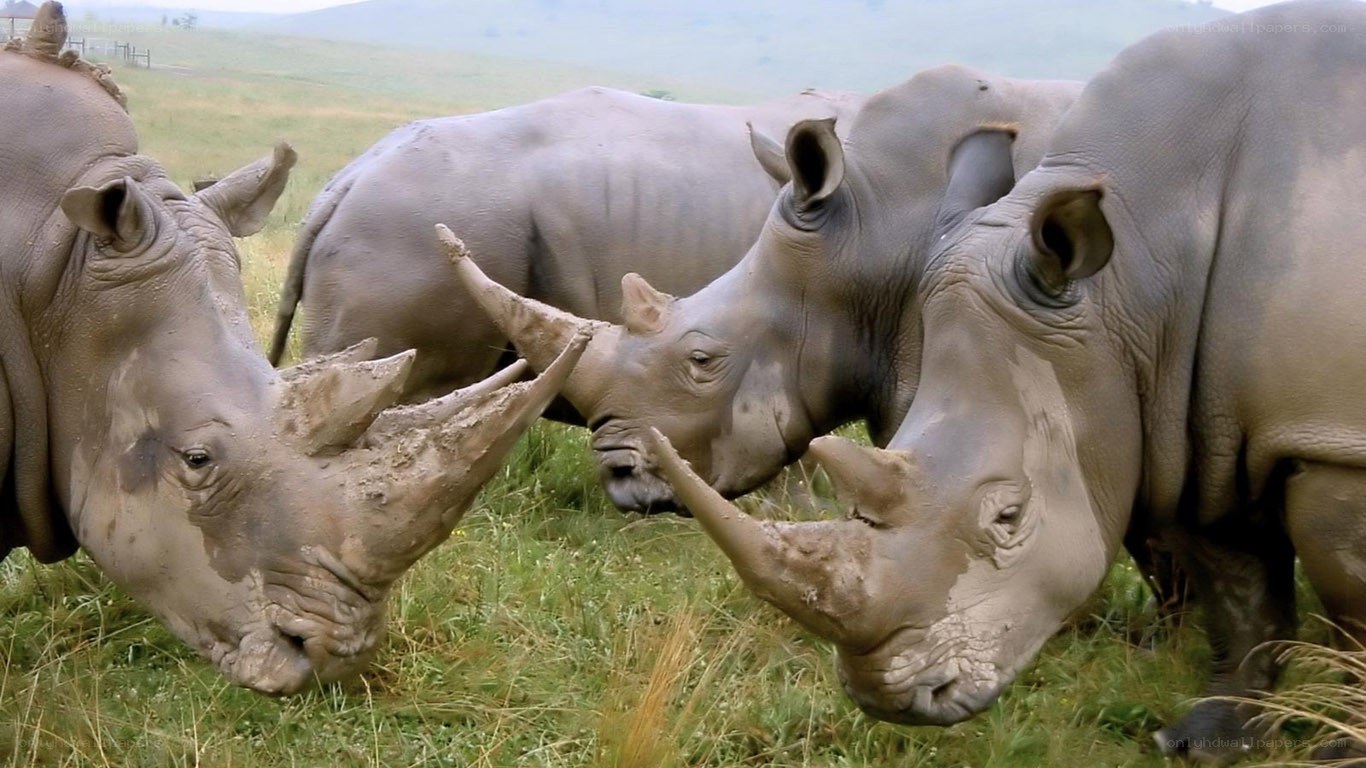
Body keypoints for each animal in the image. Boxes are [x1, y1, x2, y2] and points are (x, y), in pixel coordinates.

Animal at [647, 1, 1366, 762]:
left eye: (1009, 517)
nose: (891, 698)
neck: (1136, 280)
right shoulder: (1189, 416)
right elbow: (1240, 587)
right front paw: (1202, 740)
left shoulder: (1328, 437)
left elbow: (1350, 598)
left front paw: (1341, 748)